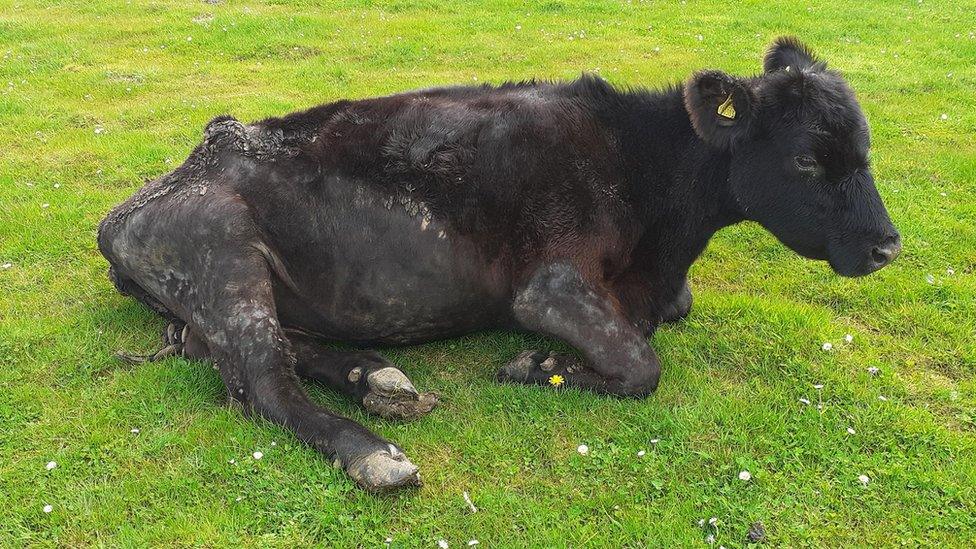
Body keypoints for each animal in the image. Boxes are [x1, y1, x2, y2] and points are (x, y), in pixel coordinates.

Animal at [97, 38, 900, 492]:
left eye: (864, 148)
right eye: (807, 160)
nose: (888, 246)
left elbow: (674, 314)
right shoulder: (547, 286)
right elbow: (641, 365)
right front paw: (537, 367)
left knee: (254, 351)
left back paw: (376, 379)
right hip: (223, 251)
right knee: (262, 380)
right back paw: (374, 453)